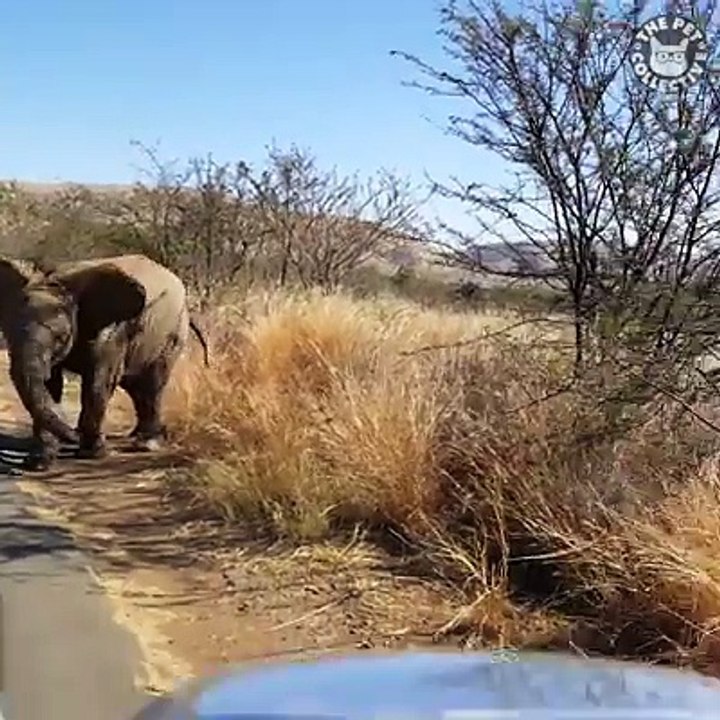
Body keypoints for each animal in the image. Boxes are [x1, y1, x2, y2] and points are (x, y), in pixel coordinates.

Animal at [0, 253, 210, 471]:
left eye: (60, 337)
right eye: (8, 336)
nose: (73, 435)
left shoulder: (111, 330)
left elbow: (99, 380)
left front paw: (92, 454)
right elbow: (49, 385)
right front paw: (39, 463)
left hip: (172, 334)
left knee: (152, 384)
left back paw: (147, 444)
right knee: (136, 387)